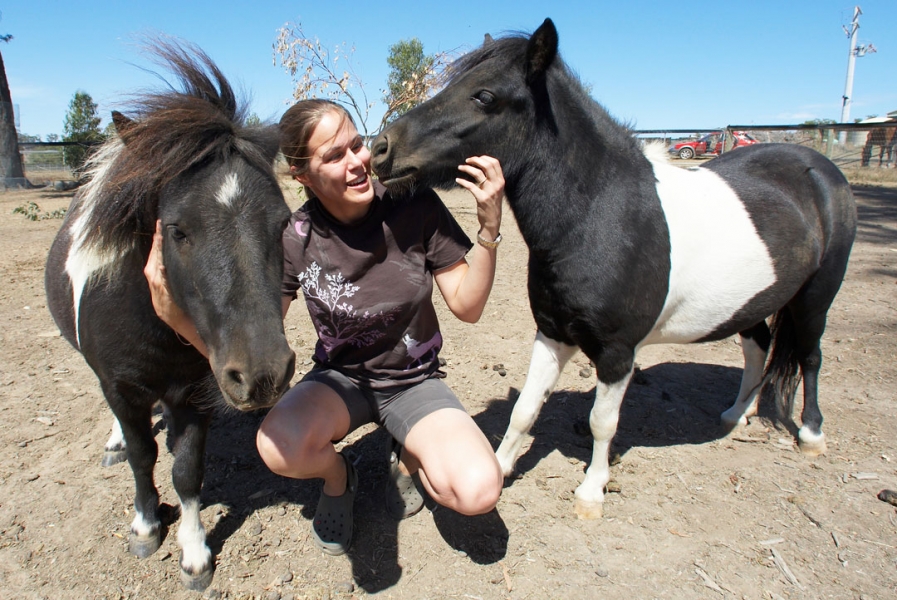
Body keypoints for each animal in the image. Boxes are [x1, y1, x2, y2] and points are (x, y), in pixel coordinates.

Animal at [44, 40, 295, 589]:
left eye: (284, 223)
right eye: (176, 230)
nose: (264, 374)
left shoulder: (195, 391)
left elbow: (186, 470)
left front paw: (195, 552)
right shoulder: (120, 384)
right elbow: (144, 457)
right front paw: (145, 525)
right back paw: (115, 442)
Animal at [371, 18, 857, 520]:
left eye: (484, 96)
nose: (380, 148)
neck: (601, 214)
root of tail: (821, 170)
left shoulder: (618, 353)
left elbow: (602, 422)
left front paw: (591, 492)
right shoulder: (553, 333)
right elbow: (526, 408)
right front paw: (501, 467)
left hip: (815, 297)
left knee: (810, 357)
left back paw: (811, 434)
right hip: (752, 301)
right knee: (757, 346)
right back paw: (735, 415)